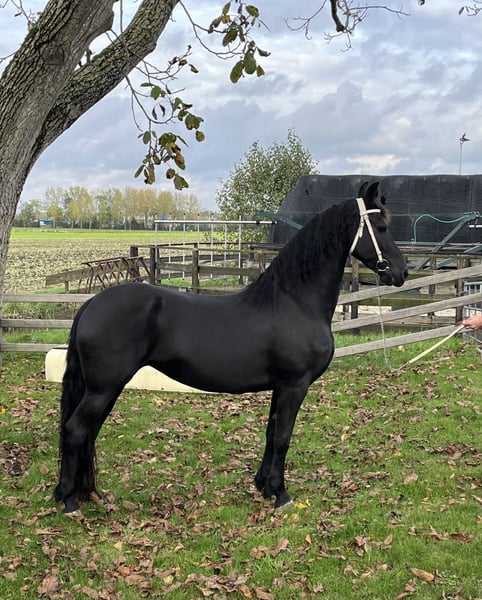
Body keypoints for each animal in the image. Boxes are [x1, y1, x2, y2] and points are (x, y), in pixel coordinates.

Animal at [54, 181, 408, 516]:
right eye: (381, 227)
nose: (402, 271)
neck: (294, 300)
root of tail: (91, 304)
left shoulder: (280, 387)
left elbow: (271, 433)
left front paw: (264, 486)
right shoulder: (295, 385)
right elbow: (284, 437)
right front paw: (281, 495)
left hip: (106, 388)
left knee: (87, 432)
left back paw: (87, 493)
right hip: (103, 388)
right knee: (76, 430)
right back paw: (70, 501)